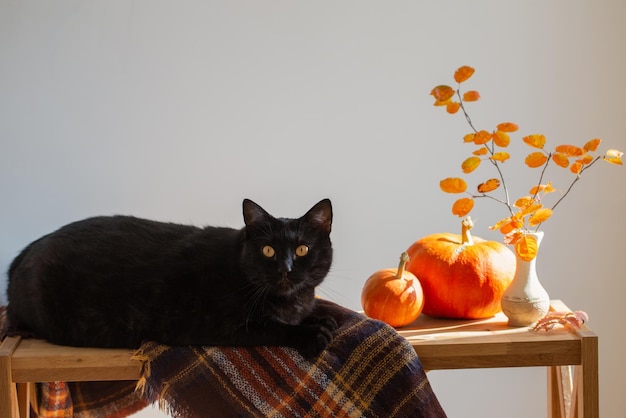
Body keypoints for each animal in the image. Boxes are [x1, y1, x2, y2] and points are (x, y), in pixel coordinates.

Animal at [6, 199, 336, 356]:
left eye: (303, 249)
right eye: (268, 250)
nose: (286, 269)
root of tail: (26, 250)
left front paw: (321, 319)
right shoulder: (228, 325)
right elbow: (275, 328)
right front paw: (312, 333)